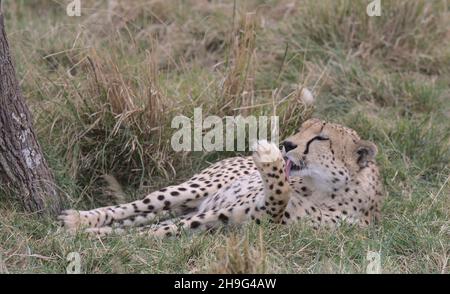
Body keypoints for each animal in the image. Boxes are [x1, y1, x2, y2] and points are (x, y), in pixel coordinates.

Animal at [59, 117, 384, 237]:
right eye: (303, 127)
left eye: (320, 138)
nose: (286, 144)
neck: (323, 189)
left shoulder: (261, 221)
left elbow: (280, 195)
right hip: (192, 190)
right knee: (139, 206)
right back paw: (79, 219)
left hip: (192, 207)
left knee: (148, 222)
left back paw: (89, 231)